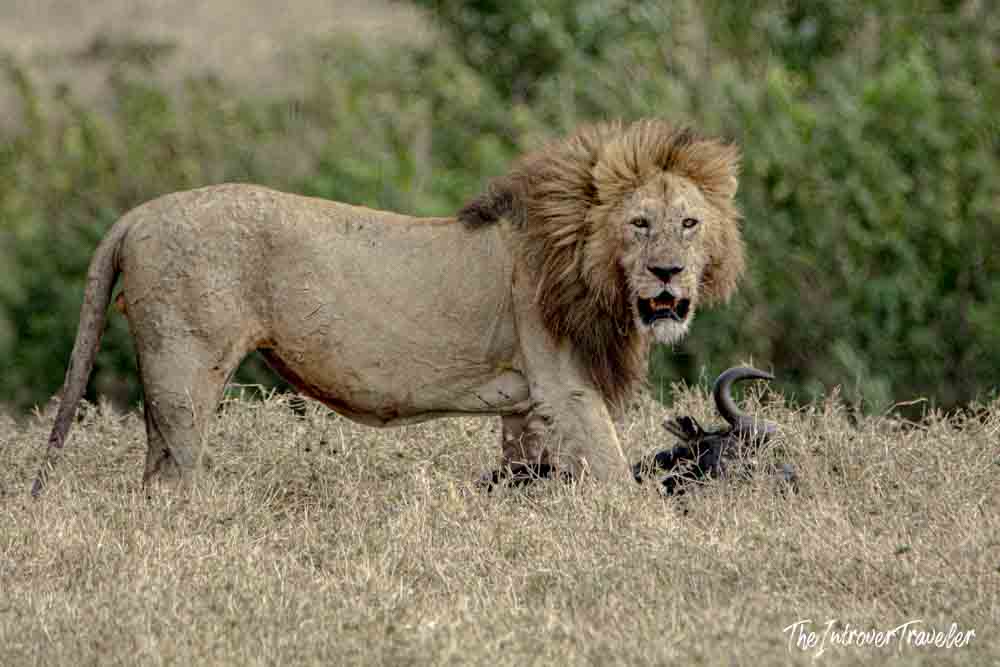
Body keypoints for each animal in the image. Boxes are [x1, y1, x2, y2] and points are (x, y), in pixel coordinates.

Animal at [32, 119, 744, 494]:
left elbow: (526, 476)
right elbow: (622, 485)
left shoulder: (526, 406)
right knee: (167, 480)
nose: (667, 273)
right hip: (184, 371)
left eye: (689, 223)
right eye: (639, 224)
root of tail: (137, 215)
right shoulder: (565, 388)